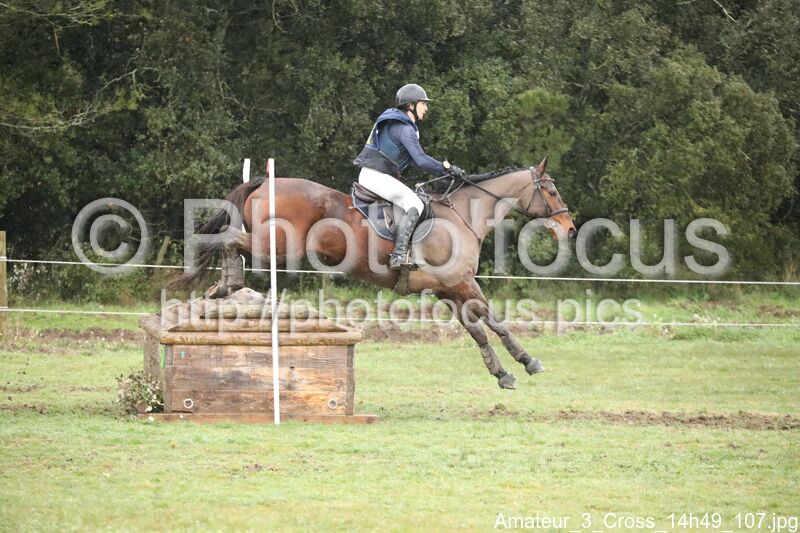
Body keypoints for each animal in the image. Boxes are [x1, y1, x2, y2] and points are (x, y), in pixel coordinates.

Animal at [168, 157, 576, 389]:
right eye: (553, 192)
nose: (571, 228)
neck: (464, 216)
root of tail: (266, 183)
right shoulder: (460, 283)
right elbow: (494, 323)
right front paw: (524, 362)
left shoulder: (448, 290)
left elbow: (480, 329)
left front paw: (506, 371)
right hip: (279, 246)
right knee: (229, 239)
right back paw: (228, 284)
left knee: (232, 242)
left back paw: (223, 288)